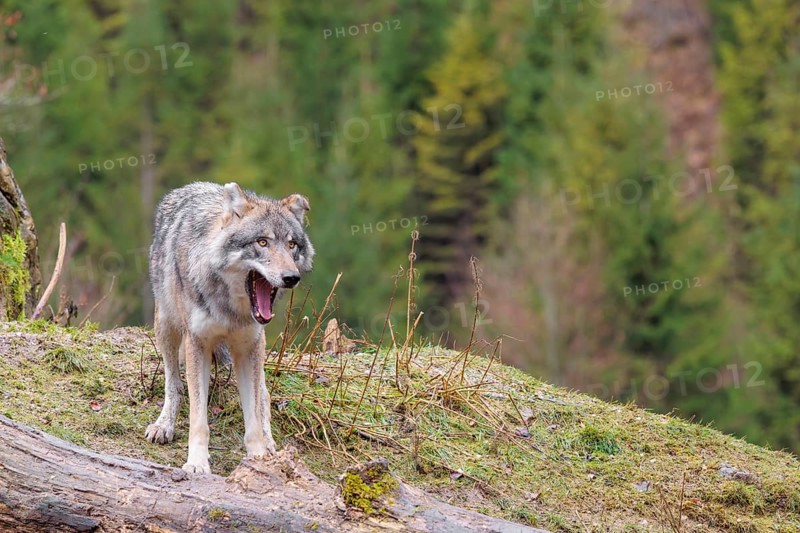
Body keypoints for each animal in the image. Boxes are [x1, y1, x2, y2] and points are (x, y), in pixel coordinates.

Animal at [144, 181, 314, 474]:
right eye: (262, 242)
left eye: (292, 244)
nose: (291, 277)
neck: (230, 308)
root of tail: (190, 187)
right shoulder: (197, 344)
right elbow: (198, 419)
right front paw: (197, 463)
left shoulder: (248, 349)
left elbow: (253, 418)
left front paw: (258, 459)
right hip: (166, 326)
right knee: (174, 385)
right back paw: (164, 425)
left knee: (264, 396)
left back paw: (270, 444)